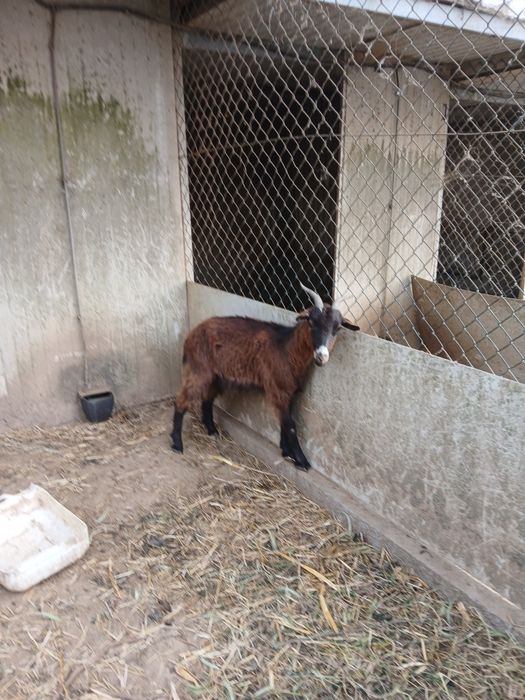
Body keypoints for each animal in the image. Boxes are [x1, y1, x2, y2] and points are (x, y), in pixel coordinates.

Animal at [171, 283, 357, 470]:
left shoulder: (289, 392)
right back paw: (177, 444)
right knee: (181, 400)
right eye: (311, 321)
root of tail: (191, 334)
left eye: (338, 328)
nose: (321, 356)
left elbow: (285, 421)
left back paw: (212, 431)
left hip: (215, 376)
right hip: (198, 370)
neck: (286, 349)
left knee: (207, 399)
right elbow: (290, 425)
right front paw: (302, 461)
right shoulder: (277, 389)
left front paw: (286, 452)